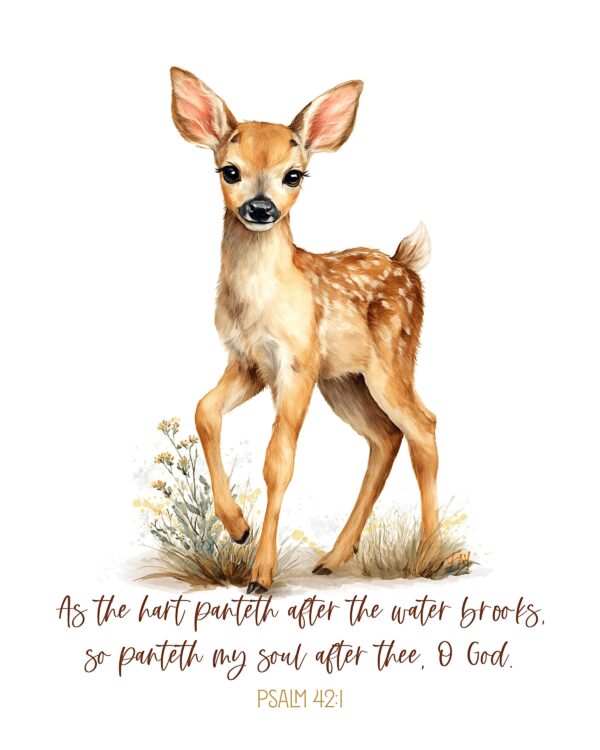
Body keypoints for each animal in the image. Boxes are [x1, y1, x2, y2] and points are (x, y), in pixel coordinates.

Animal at [170, 67, 440, 593]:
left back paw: (431, 558)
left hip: (390, 360)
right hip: (344, 381)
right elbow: (204, 411)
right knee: (385, 438)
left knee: (423, 427)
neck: (259, 303)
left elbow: (278, 461)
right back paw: (333, 557)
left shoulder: (297, 362)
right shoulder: (249, 362)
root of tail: (407, 265)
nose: (260, 208)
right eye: (229, 170)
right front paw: (238, 526)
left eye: (293, 175)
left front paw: (261, 574)